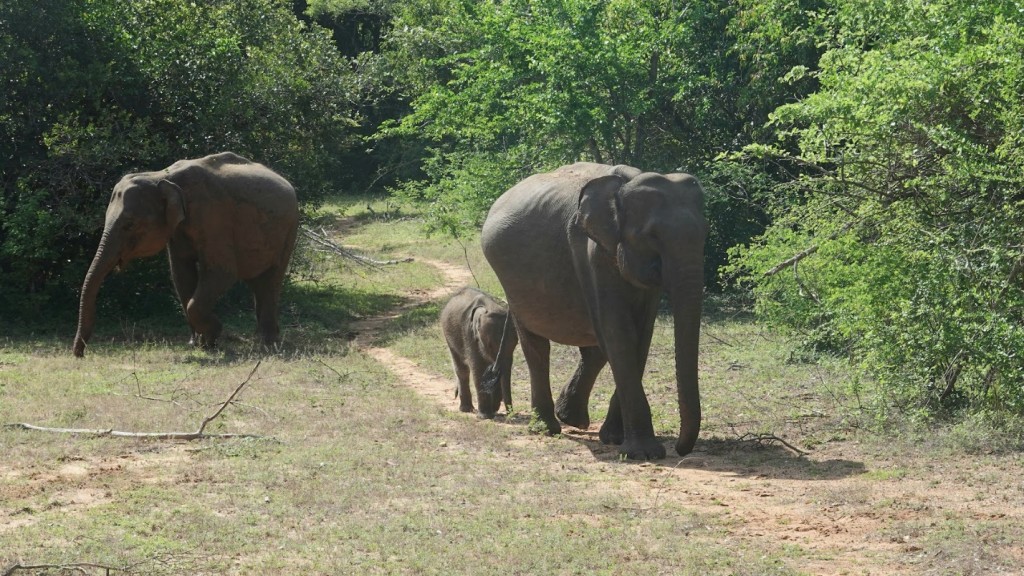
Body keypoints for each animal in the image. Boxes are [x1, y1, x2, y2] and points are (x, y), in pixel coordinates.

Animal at [72, 150, 299, 354]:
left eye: (129, 225)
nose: (79, 354)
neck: (162, 177)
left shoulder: (213, 217)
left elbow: (222, 272)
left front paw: (213, 336)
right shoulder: (178, 228)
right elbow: (181, 274)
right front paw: (198, 344)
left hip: (290, 230)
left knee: (270, 282)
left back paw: (268, 345)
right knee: (258, 283)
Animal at [440, 286, 520, 416]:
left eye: (515, 344)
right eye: (489, 345)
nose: (511, 414)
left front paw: (492, 410)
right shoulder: (469, 334)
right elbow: (478, 367)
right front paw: (485, 416)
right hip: (448, 335)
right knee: (461, 369)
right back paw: (466, 409)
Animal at [481, 161, 708, 457]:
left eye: (705, 235)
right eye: (651, 236)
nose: (681, 450)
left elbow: (640, 336)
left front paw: (614, 439)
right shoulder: (591, 252)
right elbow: (619, 333)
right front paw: (643, 453)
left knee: (594, 349)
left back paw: (572, 419)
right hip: (510, 283)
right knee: (536, 346)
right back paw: (547, 429)